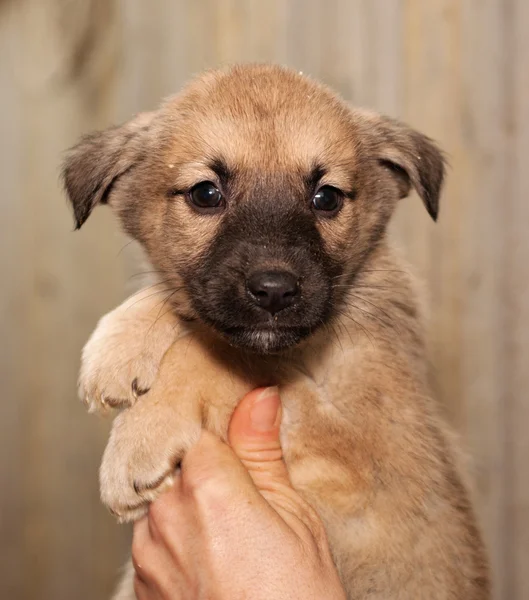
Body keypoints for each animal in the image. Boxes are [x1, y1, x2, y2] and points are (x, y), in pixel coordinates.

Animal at [64, 63, 488, 596]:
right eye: (206, 193)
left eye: (326, 197)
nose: (274, 291)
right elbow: (193, 307)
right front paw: (118, 346)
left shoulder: (358, 447)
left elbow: (227, 353)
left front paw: (139, 440)